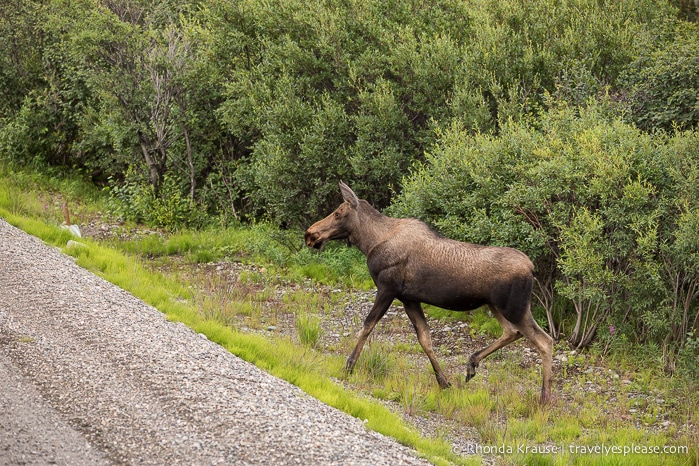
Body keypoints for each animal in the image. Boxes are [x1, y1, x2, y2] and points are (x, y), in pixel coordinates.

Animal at [304, 182, 556, 404]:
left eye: (338, 213)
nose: (310, 234)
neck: (369, 242)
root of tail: (532, 268)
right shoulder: (409, 298)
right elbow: (425, 339)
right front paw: (443, 382)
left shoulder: (387, 288)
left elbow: (368, 325)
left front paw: (349, 366)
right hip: (496, 306)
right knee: (513, 332)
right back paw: (471, 365)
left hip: (514, 307)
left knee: (545, 340)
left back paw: (544, 399)